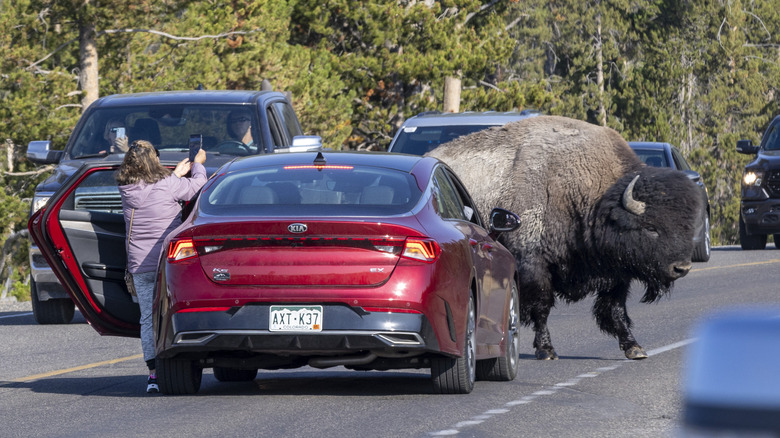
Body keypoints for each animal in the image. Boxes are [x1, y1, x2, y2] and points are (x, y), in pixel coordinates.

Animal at [427, 115, 701, 360]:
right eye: (651, 228)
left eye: (687, 227)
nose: (681, 268)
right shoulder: (534, 265)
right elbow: (541, 307)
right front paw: (546, 350)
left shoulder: (615, 274)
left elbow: (615, 310)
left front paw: (634, 348)